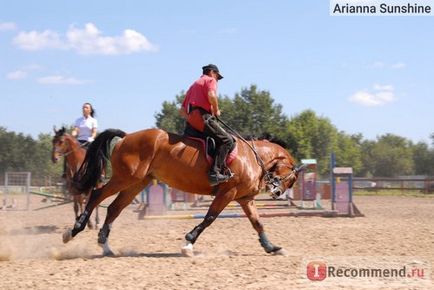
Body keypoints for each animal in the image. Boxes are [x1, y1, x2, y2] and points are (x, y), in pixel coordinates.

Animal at [62, 128, 302, 255]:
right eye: (292, 180)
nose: (277, 193)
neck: (252, 157)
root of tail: (126, 136)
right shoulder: (227, 193)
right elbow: (209, 218)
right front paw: (188, 242)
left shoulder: (244, 198)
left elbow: (257, 222)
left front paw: (272, 247)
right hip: (125, 178)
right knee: (97, 195)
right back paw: (74, 230)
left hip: (137, 183)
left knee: (114, 208)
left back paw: (105, 245)